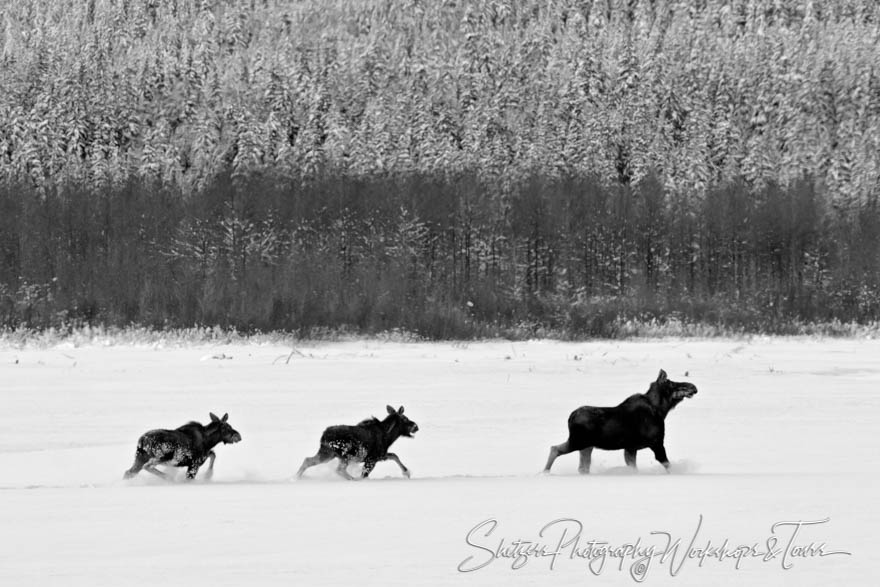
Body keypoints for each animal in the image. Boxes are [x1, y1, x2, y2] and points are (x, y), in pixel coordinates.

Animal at [544, 372, 696, 478]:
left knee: (582, 467)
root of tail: (570, 418)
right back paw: (544, 472)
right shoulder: (656, 443)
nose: (693, 387)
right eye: (671, 383)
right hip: (579, 441)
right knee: (555, 449)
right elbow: (667, 465)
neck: (661, 410)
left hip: (587, 446)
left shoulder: (630, 448)